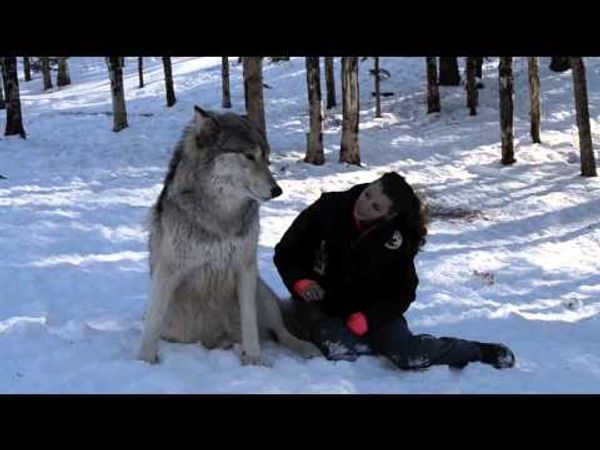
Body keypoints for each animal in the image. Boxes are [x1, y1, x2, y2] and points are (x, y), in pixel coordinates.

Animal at [138, 106, 322, 366]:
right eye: (249, 156)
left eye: (266, 158)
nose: (277, 190)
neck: (221, 216)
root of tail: (219, 337)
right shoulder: (168, 272)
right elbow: (151, 326)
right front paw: (144, 361)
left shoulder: (245, 269)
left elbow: (250, 326)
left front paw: (254, 362)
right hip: (175, 327)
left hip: (262, 293)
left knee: (280, 332)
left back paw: (305, 348)